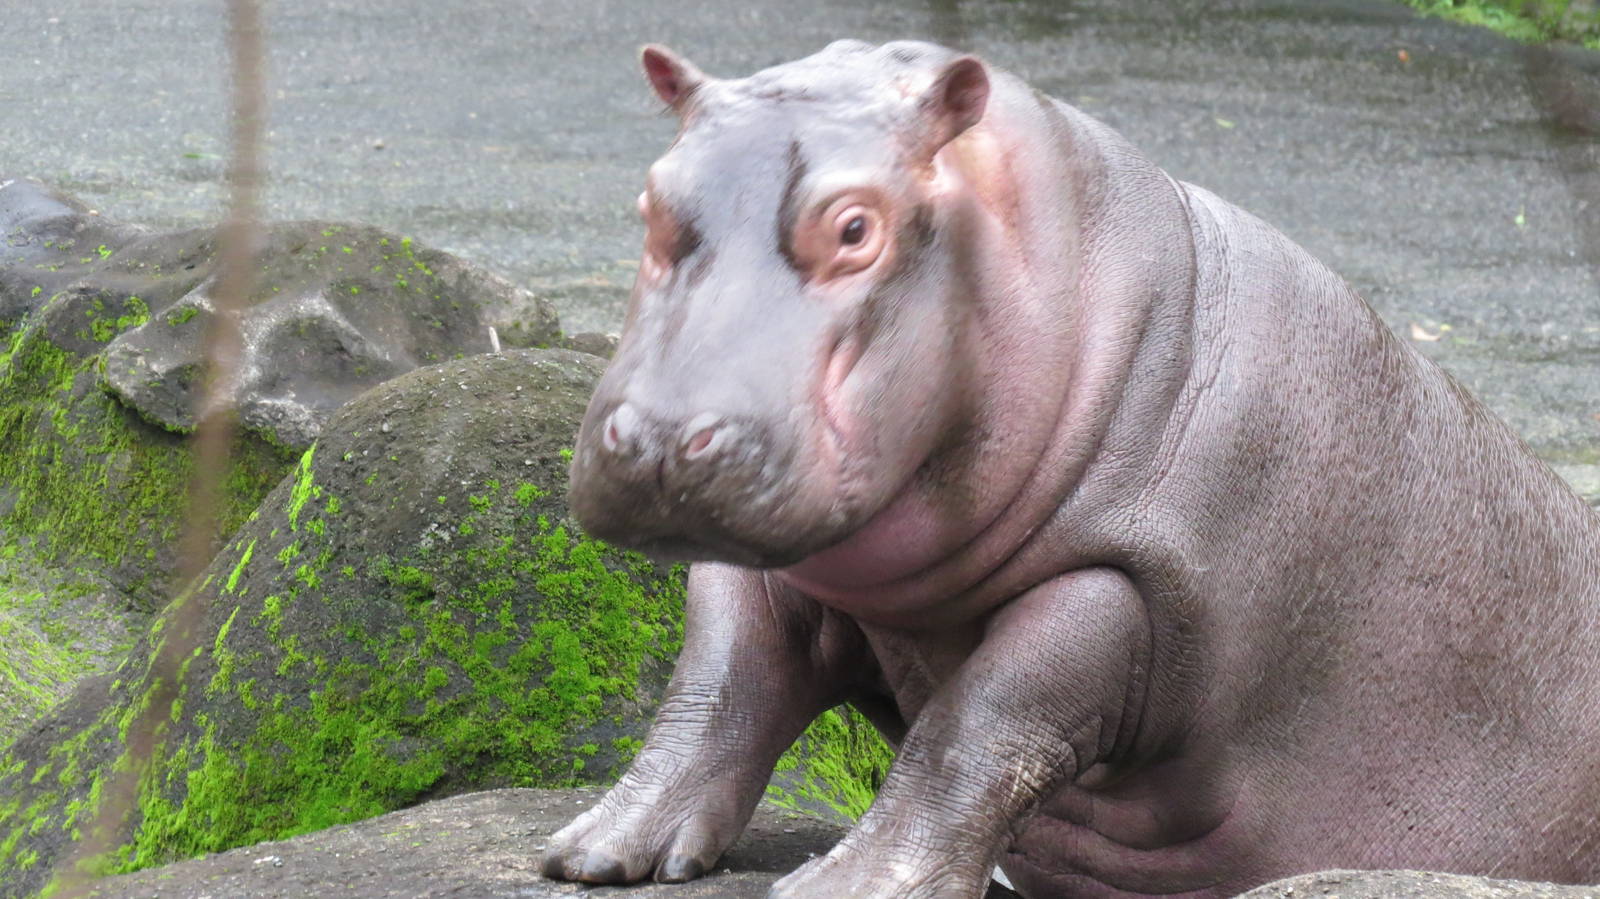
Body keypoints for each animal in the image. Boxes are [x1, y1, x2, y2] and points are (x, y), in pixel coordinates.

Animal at [543, 39, 1600, 898]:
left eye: (855, 226)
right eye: (650, 199)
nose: (660, 436)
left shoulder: (1120, 583)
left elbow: (977, 725)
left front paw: (847, 884)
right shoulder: (777, 560)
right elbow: (718, 680)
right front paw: (595, 850)